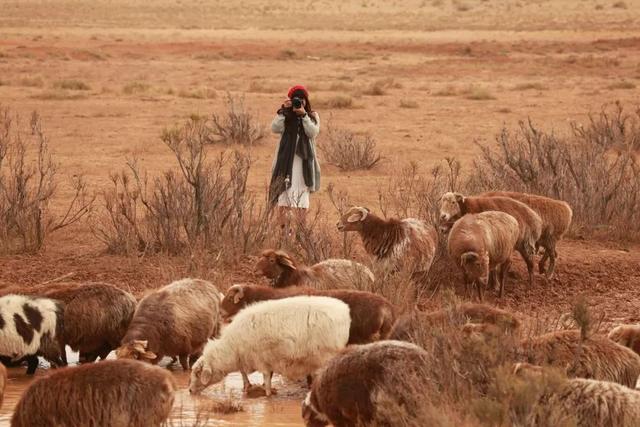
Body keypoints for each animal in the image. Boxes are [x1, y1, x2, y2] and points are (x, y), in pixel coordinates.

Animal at [190, 296, 350, 396]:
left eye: (197, 373)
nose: (190, 391)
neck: (232, 348)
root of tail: (344, 311)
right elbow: (244, 373)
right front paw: (248, 387)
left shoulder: (261, 360)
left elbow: (266, 379)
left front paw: (267, 394)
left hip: (326, 356)